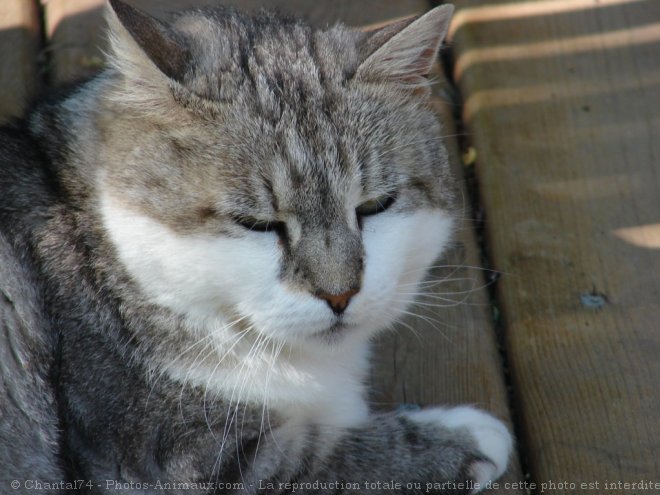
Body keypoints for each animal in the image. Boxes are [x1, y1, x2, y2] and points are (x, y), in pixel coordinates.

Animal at [0, 0, 512, 492]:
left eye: (375, 206)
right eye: (257, 224)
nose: (340, 295)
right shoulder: (158, 459)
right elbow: (323, 461)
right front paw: (457, 437)